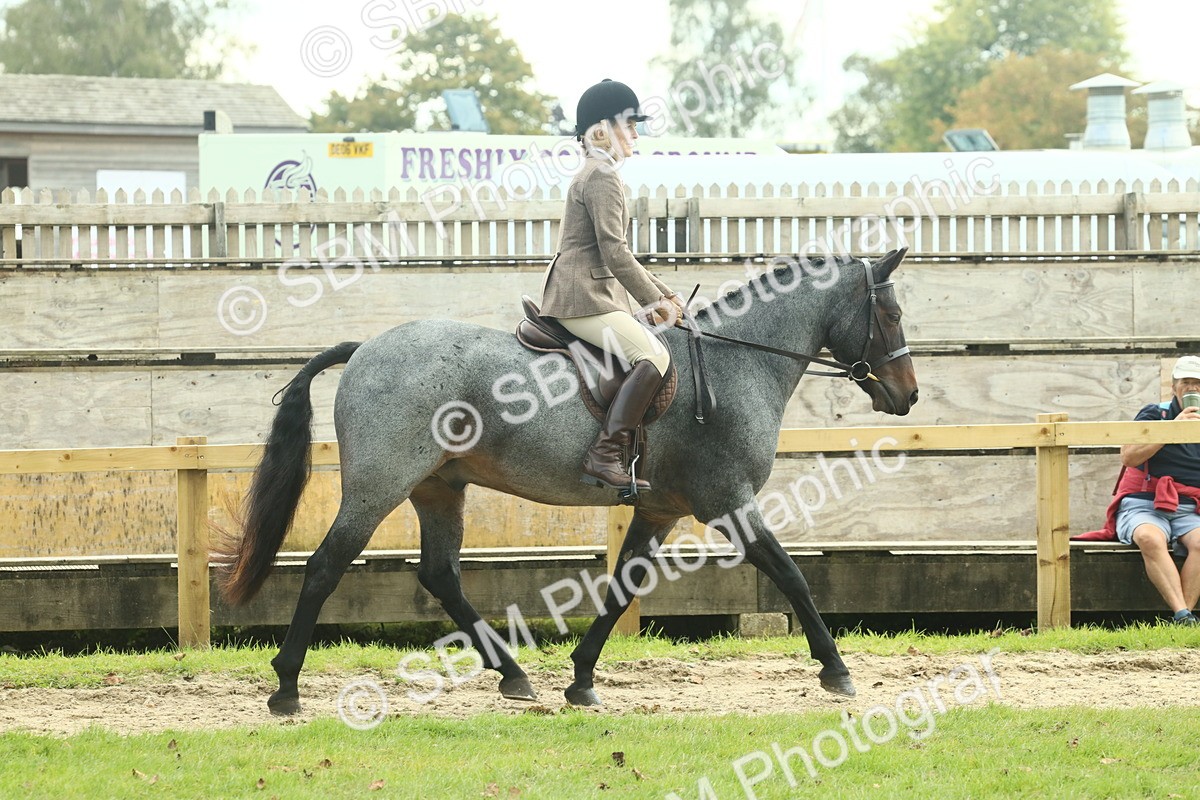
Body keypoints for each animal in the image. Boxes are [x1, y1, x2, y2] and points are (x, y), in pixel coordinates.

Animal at [214, 247, 919, 714]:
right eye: (890, 315)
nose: (907, 395)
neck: (732, 360)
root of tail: (363, 347)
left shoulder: (659, 510)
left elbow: (623, 585)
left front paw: (580, 680)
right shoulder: (729, 502)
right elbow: (790, 573)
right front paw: (836, 670)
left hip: (440, 488)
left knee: (440, 574)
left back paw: (513, 675)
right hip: (378, 487)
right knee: (325, 567)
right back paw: (286, 687)